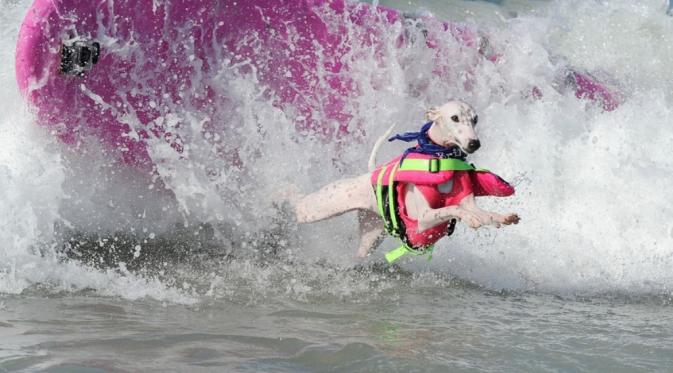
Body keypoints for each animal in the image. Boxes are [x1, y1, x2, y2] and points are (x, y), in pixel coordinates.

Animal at [292, 100, 516, 260]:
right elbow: (453, 208)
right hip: (319, 207)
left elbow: (480, 212)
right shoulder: (424, 219)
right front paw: (470, 218)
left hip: (370, 236)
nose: (474, 143)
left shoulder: (468, 202)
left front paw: (498, 217)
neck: (439, 158)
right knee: (297, 204)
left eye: (475, 119)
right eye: (454, 117)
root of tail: (370, 175)